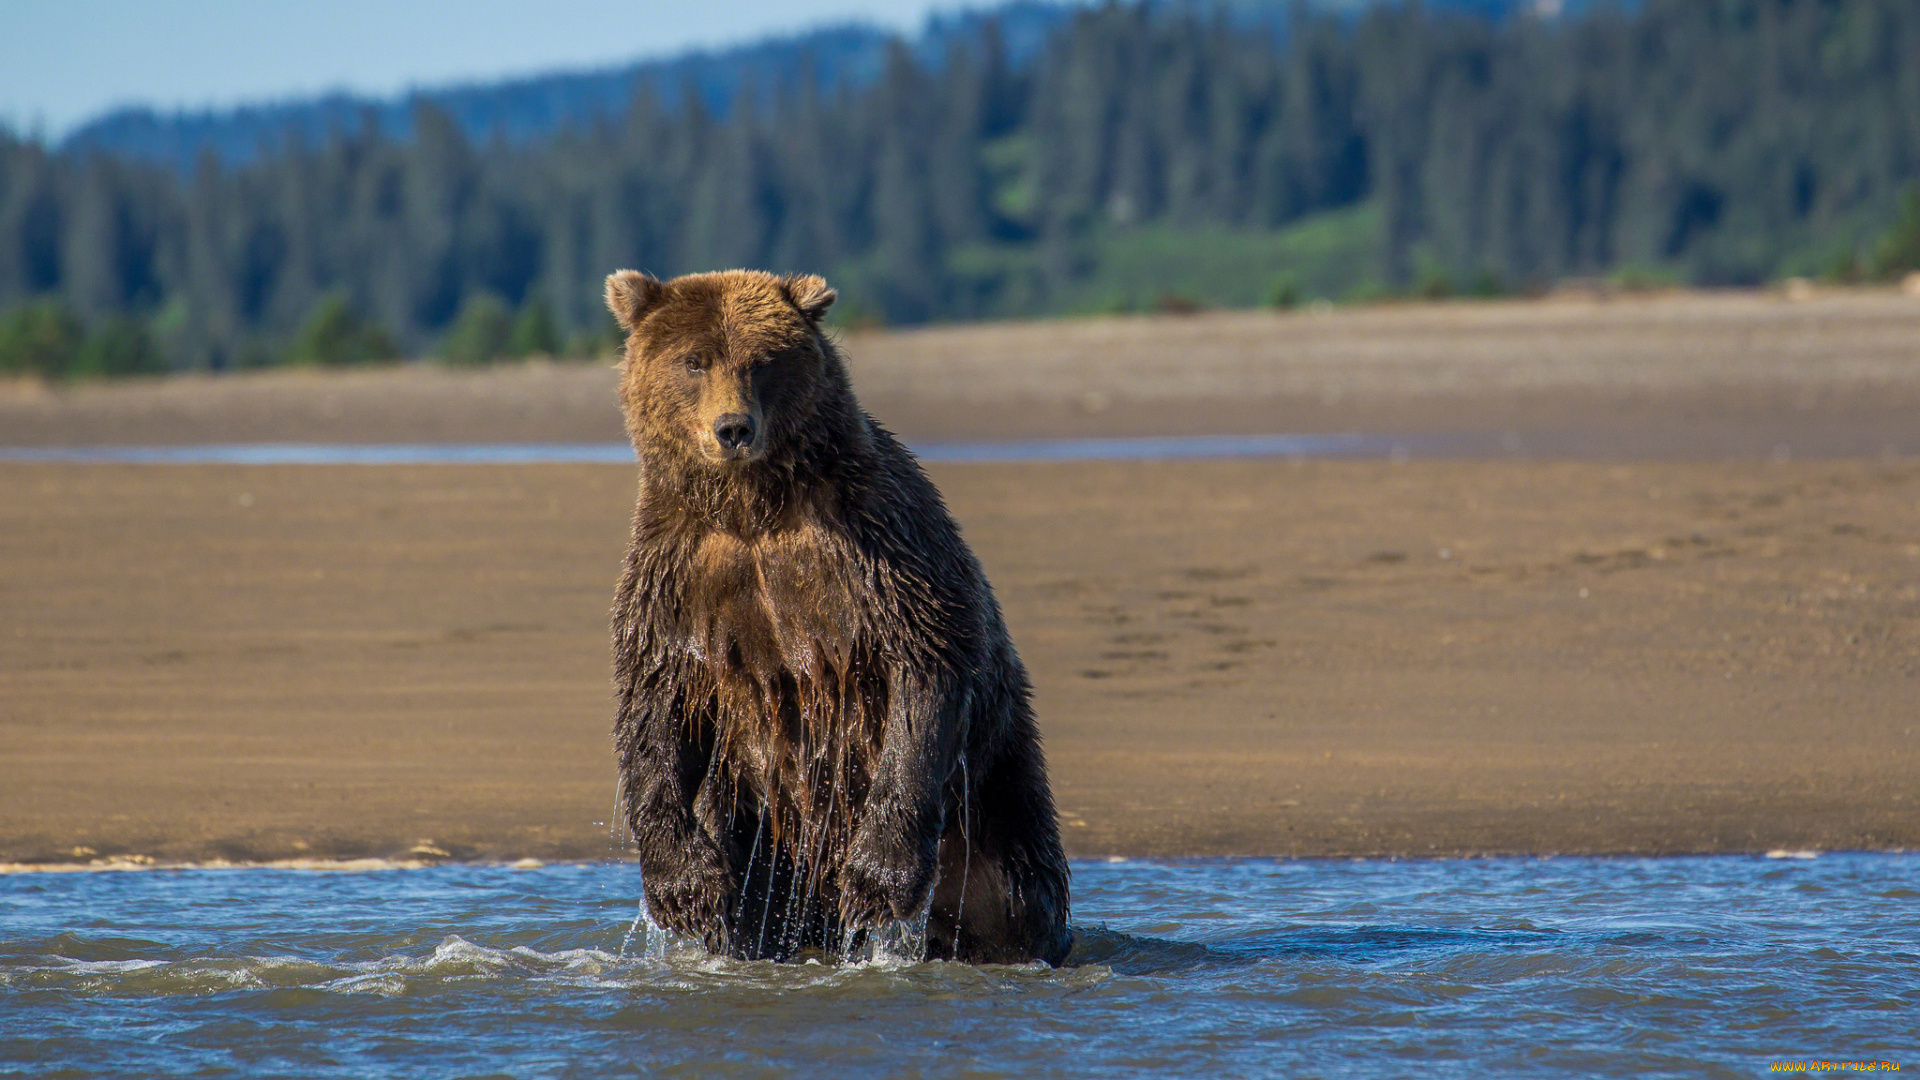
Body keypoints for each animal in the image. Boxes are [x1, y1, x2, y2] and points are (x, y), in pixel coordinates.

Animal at [606, 267, 1075, 957]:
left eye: (762, 361)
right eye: (694, 361)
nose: (733, 428)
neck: (753, 509)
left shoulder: (878, 546)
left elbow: (926, 662)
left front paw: (878, 879)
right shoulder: (676, 575)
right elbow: (657, 704)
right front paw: (684, 888)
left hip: (991, 796)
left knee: (1010, 893)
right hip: (761, 833)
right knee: (755, 904)